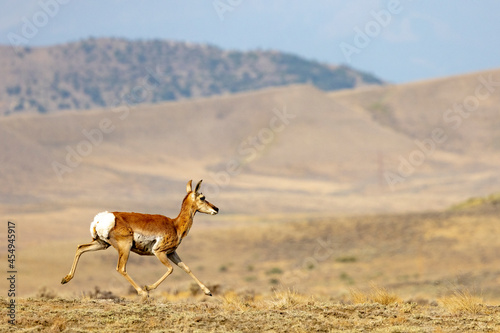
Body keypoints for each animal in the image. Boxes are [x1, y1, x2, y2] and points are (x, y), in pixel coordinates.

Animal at [60, 179, 219, 296]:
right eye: (203, 197)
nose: (216, 208)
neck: (175, 224)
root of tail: (104, 217)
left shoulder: (172, 252)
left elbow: (186, 268)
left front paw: (208, 291)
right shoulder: (159, 252)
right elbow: (170, 269)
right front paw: (148, 287)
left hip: (102, 244)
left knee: (80, 247)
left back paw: (65, 279)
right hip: (125, 247)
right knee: (121, 268)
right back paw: (142, 292)